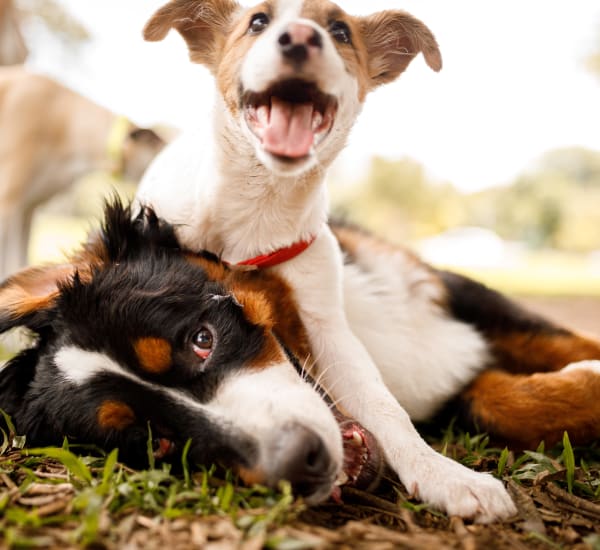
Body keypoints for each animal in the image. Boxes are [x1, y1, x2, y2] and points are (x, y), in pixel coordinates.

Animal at [135, 0, 600, 520]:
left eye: (339, 30)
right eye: (257, 21)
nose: (300, 38)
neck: (256, 212)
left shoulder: (326, 323)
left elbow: (384, 405)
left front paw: (441, 472)